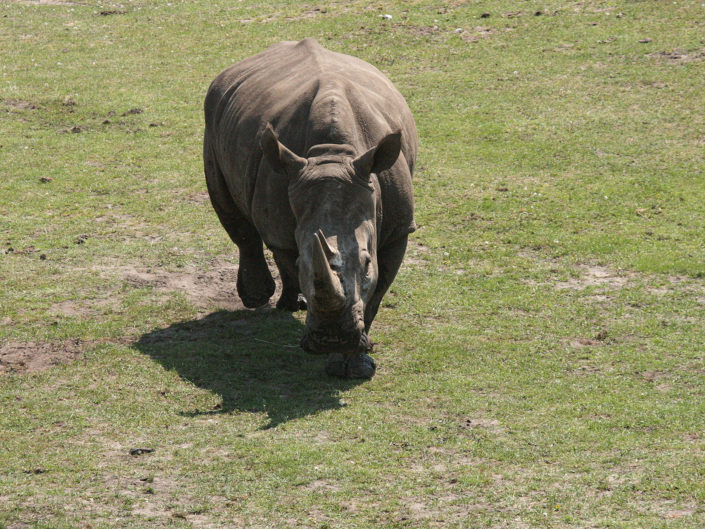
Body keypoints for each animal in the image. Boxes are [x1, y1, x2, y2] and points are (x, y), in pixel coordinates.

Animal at [203, 38, 417, 378]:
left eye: (367, 261)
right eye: (302, 262)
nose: (331, 338)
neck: (334, 155)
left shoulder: (399, 229)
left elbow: (376, 294)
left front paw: (355, 364)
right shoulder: (282, 223)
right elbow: (285, 252)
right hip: (214, 121)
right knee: (233, 213)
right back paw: (262, 299)